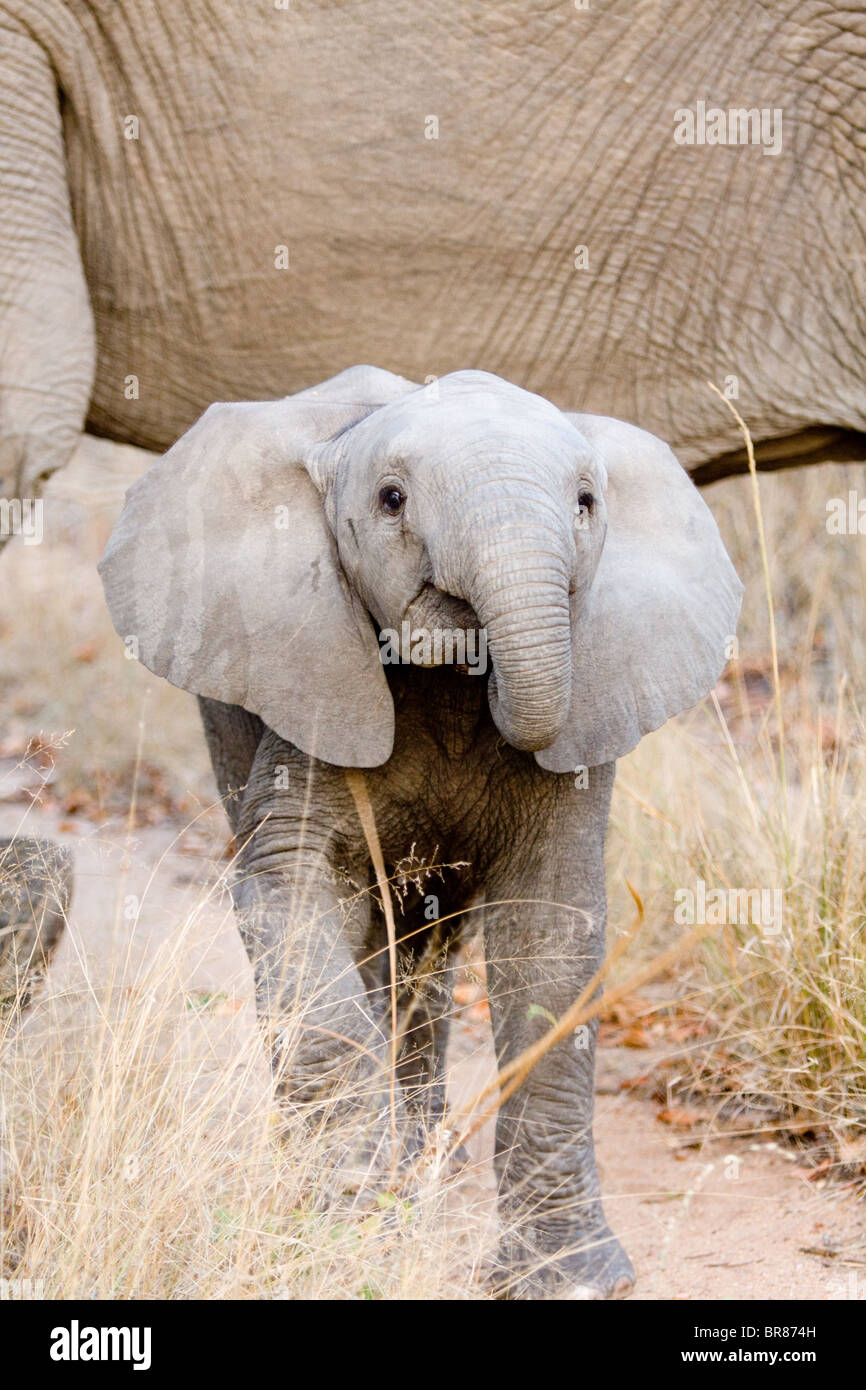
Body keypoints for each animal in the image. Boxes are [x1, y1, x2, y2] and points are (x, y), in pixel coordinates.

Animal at [98, 365, 743, 1298]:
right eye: (392, 499)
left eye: (587, 502)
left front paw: (573, 1280)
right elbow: (290, 889)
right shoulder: (307, 687)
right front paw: (348, 1232)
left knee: (421, 950)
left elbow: (551, 935)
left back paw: (422, 1160)